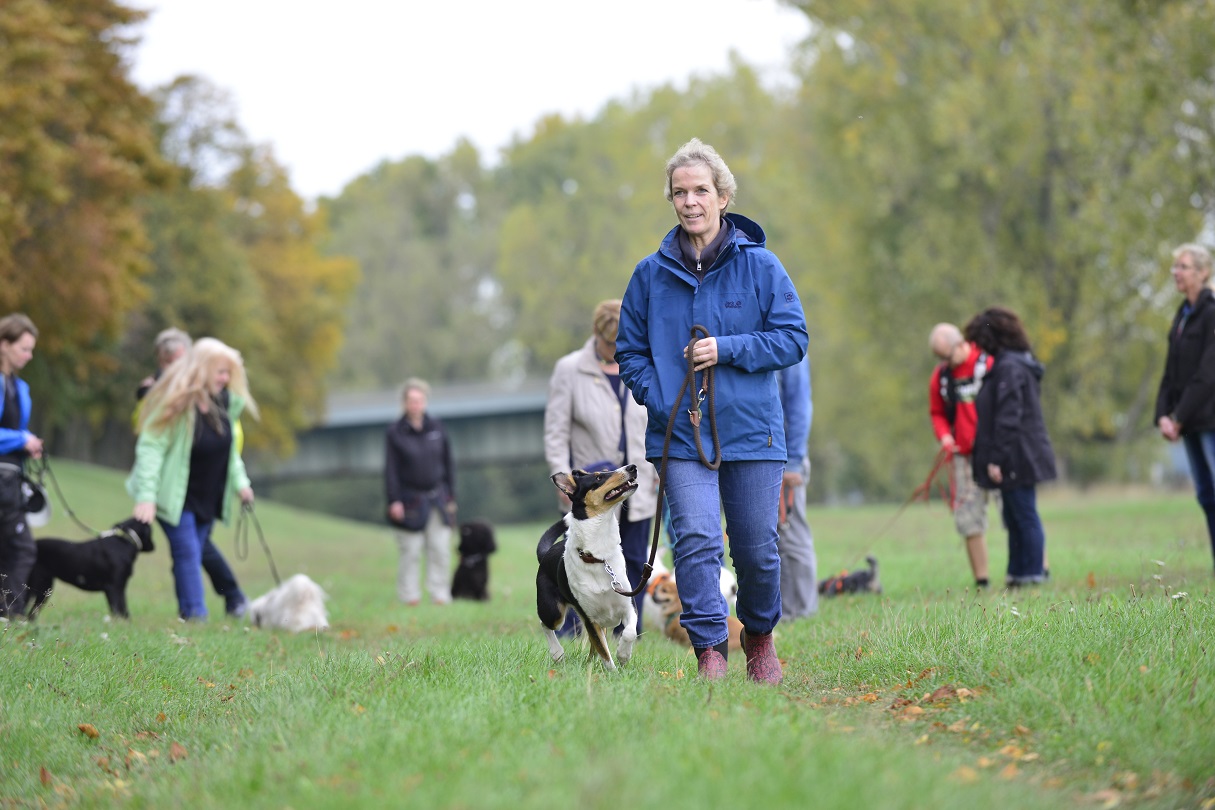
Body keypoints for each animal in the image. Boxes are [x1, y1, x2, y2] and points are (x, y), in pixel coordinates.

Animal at [537, 466, 641, 670]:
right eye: (598, 478)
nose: (632, 467)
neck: (598, 557)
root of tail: (546, 553)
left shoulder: (628, 605)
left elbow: (628, 633)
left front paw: (623, 655)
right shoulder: (590, 619)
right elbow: (604, 652)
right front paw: (613, 672)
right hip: (553, 611)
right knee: (546, 625)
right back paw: (557, 653)